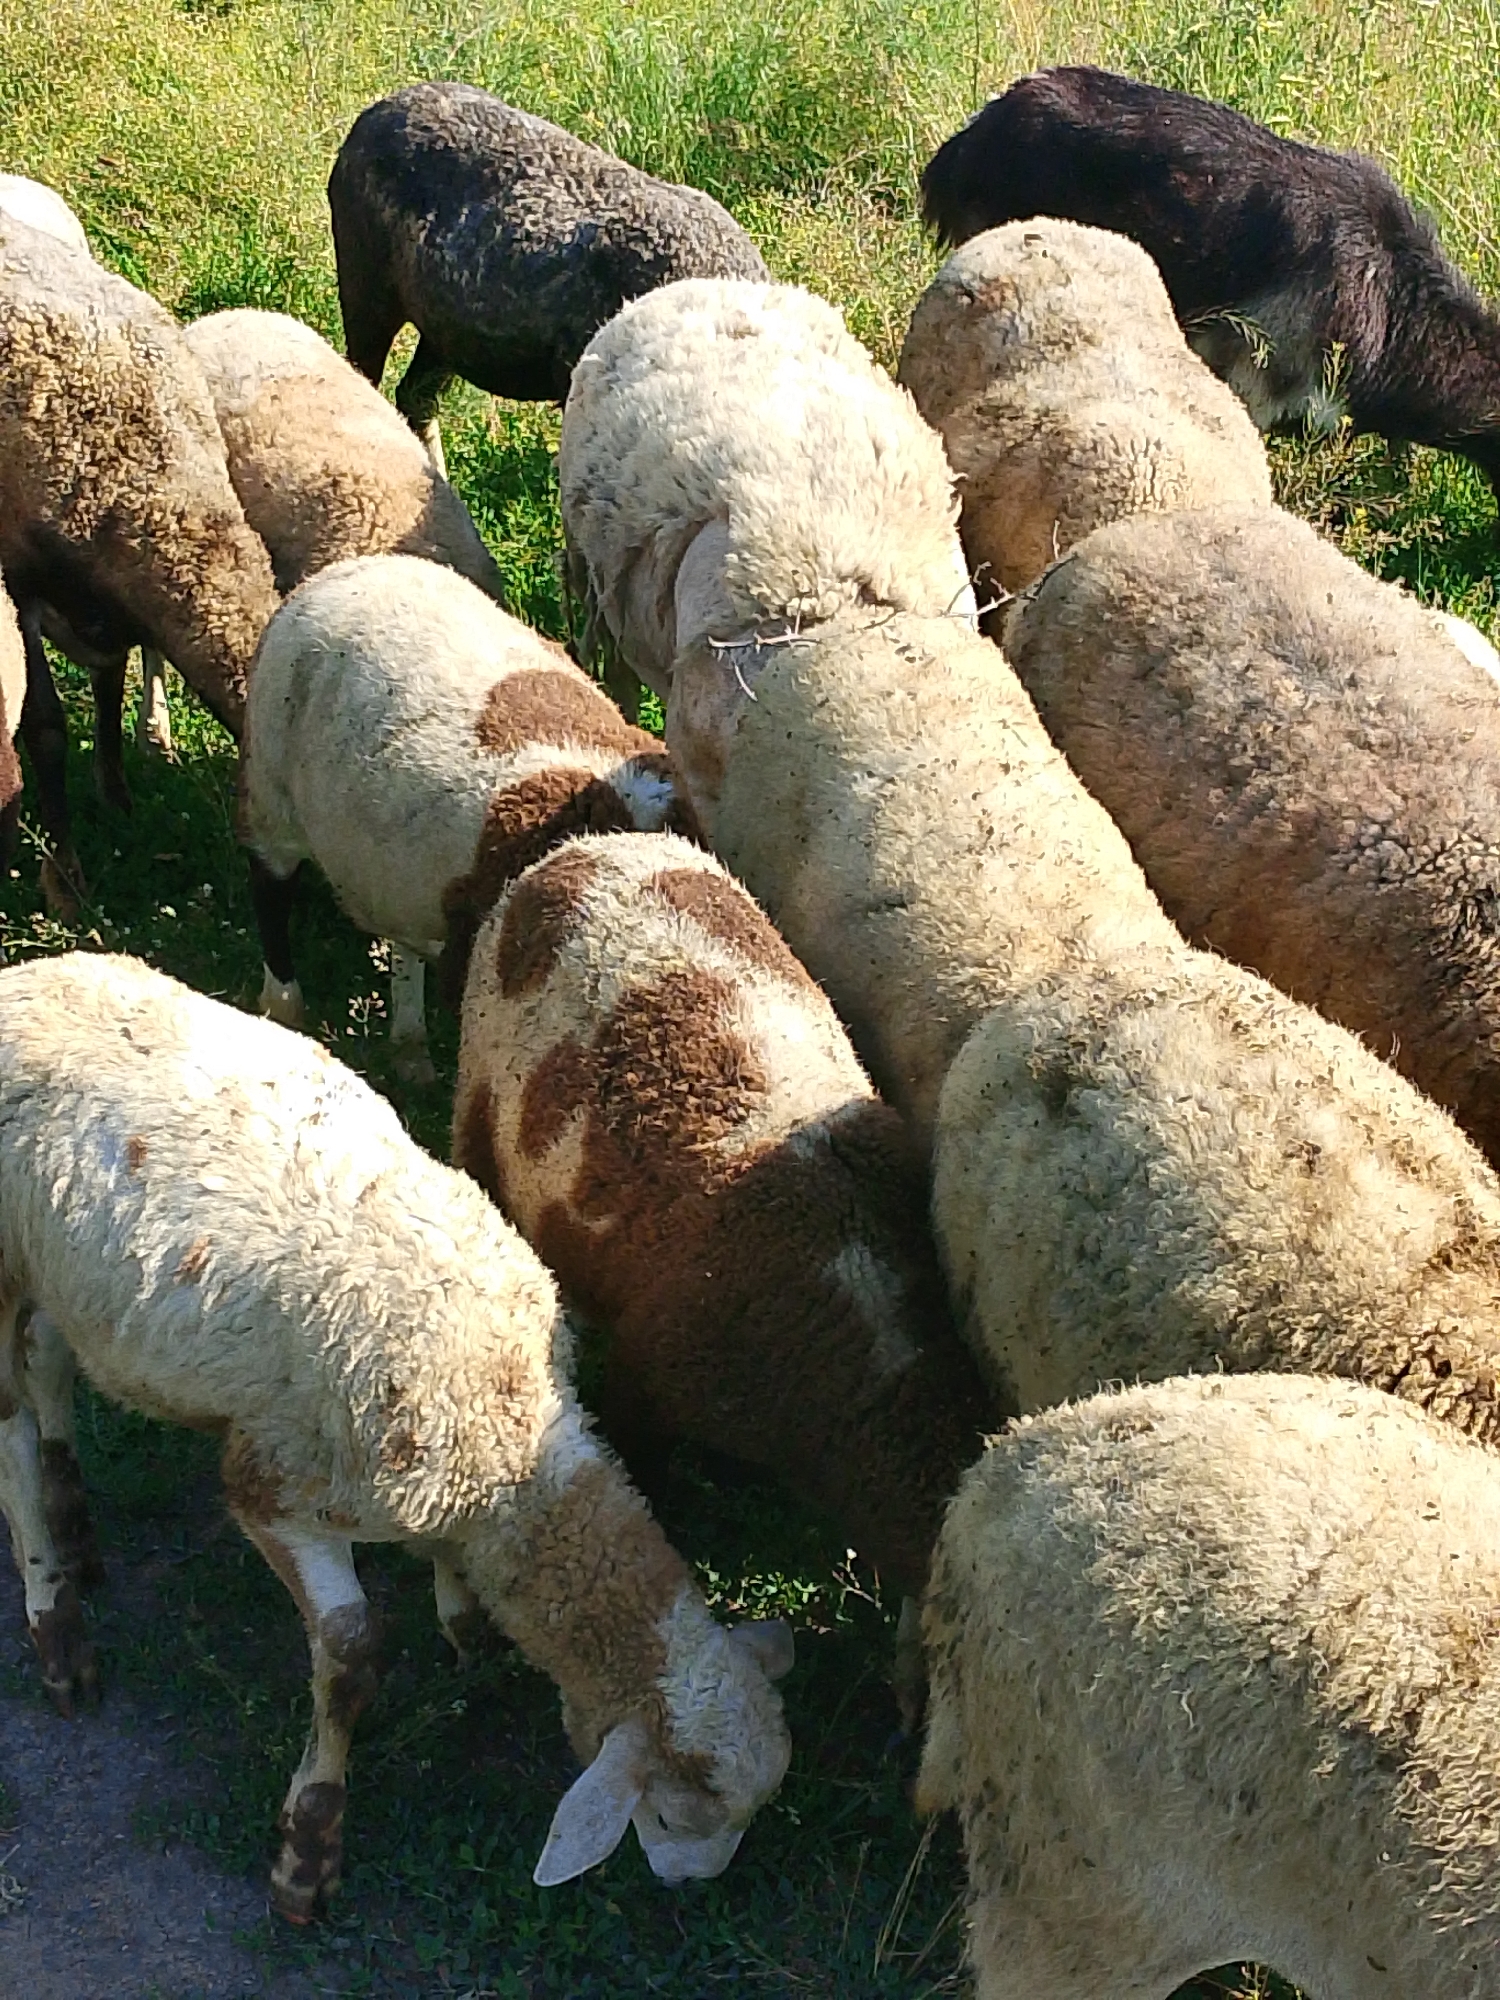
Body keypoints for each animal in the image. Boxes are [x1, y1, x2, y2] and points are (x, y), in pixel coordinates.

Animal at [0, 950, 793, 1921]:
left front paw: (464, 1625)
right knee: (9, 1440)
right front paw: (309, 1850)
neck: (509, 1427)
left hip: (67, 1273)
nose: (689, 1888)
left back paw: (75, 1521)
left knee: (48, 1358)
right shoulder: (276, 1488)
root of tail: (29, 976)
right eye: (676, 1816)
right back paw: (57, 1623)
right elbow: (349, 1659)